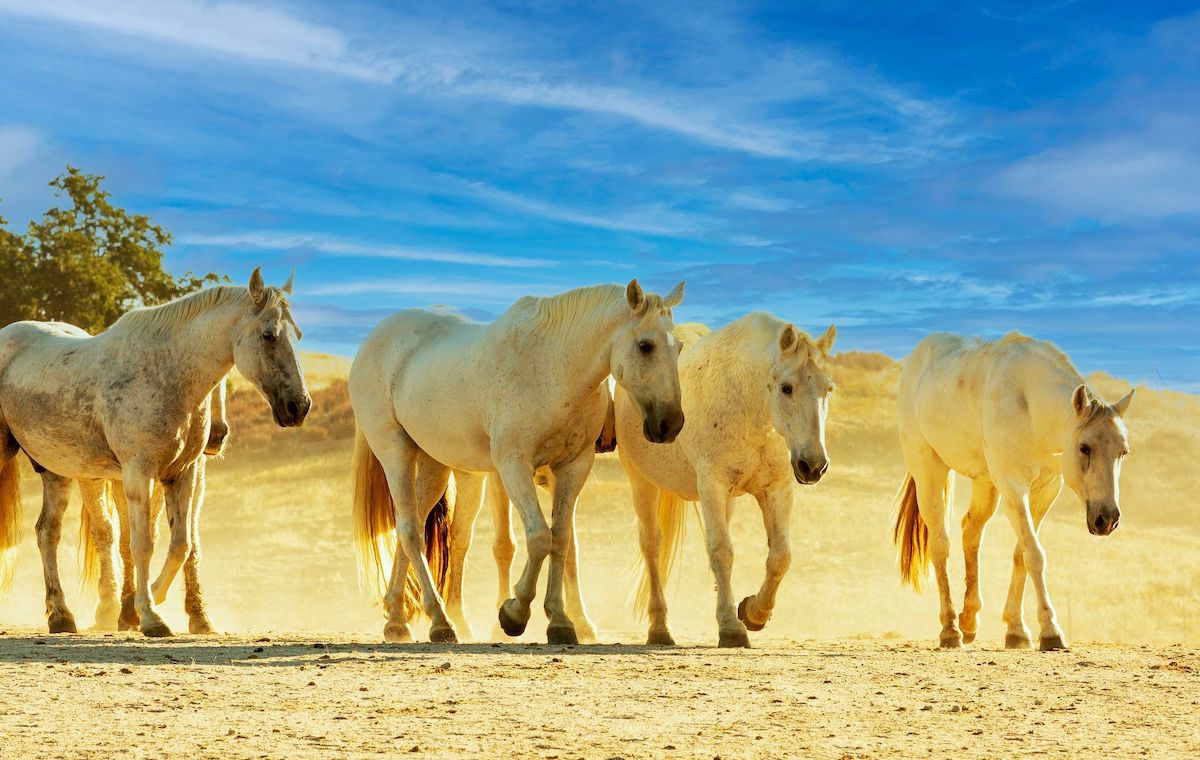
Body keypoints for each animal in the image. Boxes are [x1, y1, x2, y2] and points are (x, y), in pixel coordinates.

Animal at [0, 268, 309, 637]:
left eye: (298, 335)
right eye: (269, 335)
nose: (299, 406)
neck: (167, 372)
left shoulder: (182, 474)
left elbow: (180, 544)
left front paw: (152, 600)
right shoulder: (138, 474)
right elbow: (141, 543)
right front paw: (149, 616)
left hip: (57, 472)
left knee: (47, 533)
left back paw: (61, 617)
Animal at [352, 280, 685, 645]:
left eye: (679, 347)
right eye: (645, 345)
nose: (671, 424)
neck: (554, 367)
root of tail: (376, 336)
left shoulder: (573, 467)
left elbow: (561, 539)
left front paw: (560, 621)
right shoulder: (513, 466)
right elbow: (539, 537)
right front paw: (514, 613)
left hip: (433, 464)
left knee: (409, 528)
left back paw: (397, 618)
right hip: (394, 449)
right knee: (410, 530)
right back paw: (440, 621)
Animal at [617, 313, 837, 647]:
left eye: (829, 389)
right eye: (786, 388)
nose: (813, 465)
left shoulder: (777, 490)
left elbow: (780, 557)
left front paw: (753, 612)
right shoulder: (712, 485)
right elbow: (721, 550)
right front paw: (731, 627)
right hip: (643, 483)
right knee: (651, 545)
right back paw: (660, 628)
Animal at [893, 332, 1133, 651]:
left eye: (1123, 451)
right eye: (1085, 448)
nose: (1107, 519)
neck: (1029, 404)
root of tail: (917, 355)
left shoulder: (1045, 491)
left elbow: (1022, 554)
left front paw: (1017, 630)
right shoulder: (1013, 489)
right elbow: (1034, 554)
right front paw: (1050, 631)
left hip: (985, 484)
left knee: (970, 531)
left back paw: (969, 619)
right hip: (929, 470)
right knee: (940, 545)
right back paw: (951, 629)